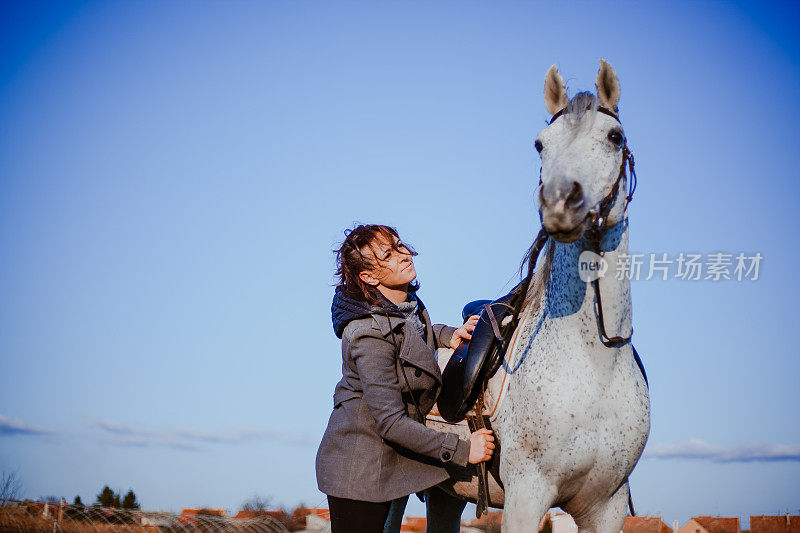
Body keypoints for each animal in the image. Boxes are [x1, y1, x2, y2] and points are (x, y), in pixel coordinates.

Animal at [424, 60, 648, 528]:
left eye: (614, 137)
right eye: (540, 144)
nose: (560, 200)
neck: (596, 365)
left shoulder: (608, 506)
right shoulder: (527, 496)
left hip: (445, 496)